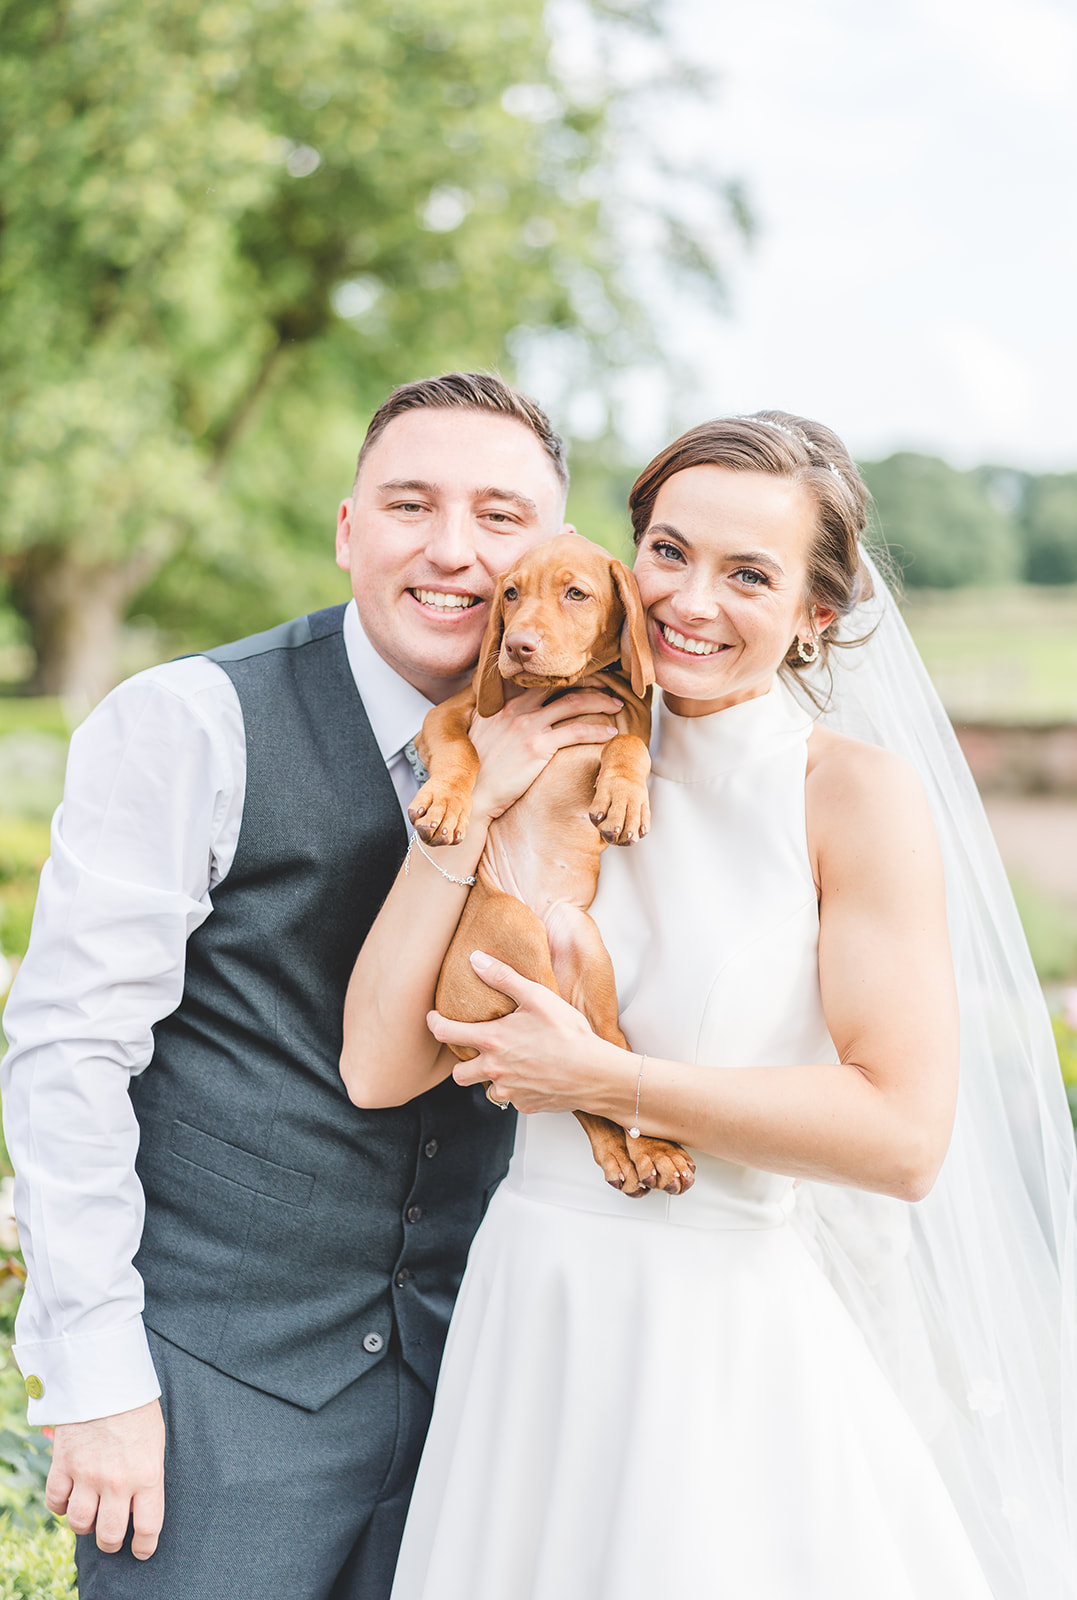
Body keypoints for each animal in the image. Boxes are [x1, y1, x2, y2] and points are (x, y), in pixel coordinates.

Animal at [408, 531, 694, 1196]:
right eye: (510, 593)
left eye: (576, 594)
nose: (516, 646)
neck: (561, 687)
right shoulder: (451, 713)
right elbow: (460, 751)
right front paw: (447, 803)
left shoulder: (631, 720)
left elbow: (628, 746)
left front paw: (624, 796)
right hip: (515, 933)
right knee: (567, 1077)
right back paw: (632, 1152)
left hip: (581, 942)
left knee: (598, 1061)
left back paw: (647, 1149)